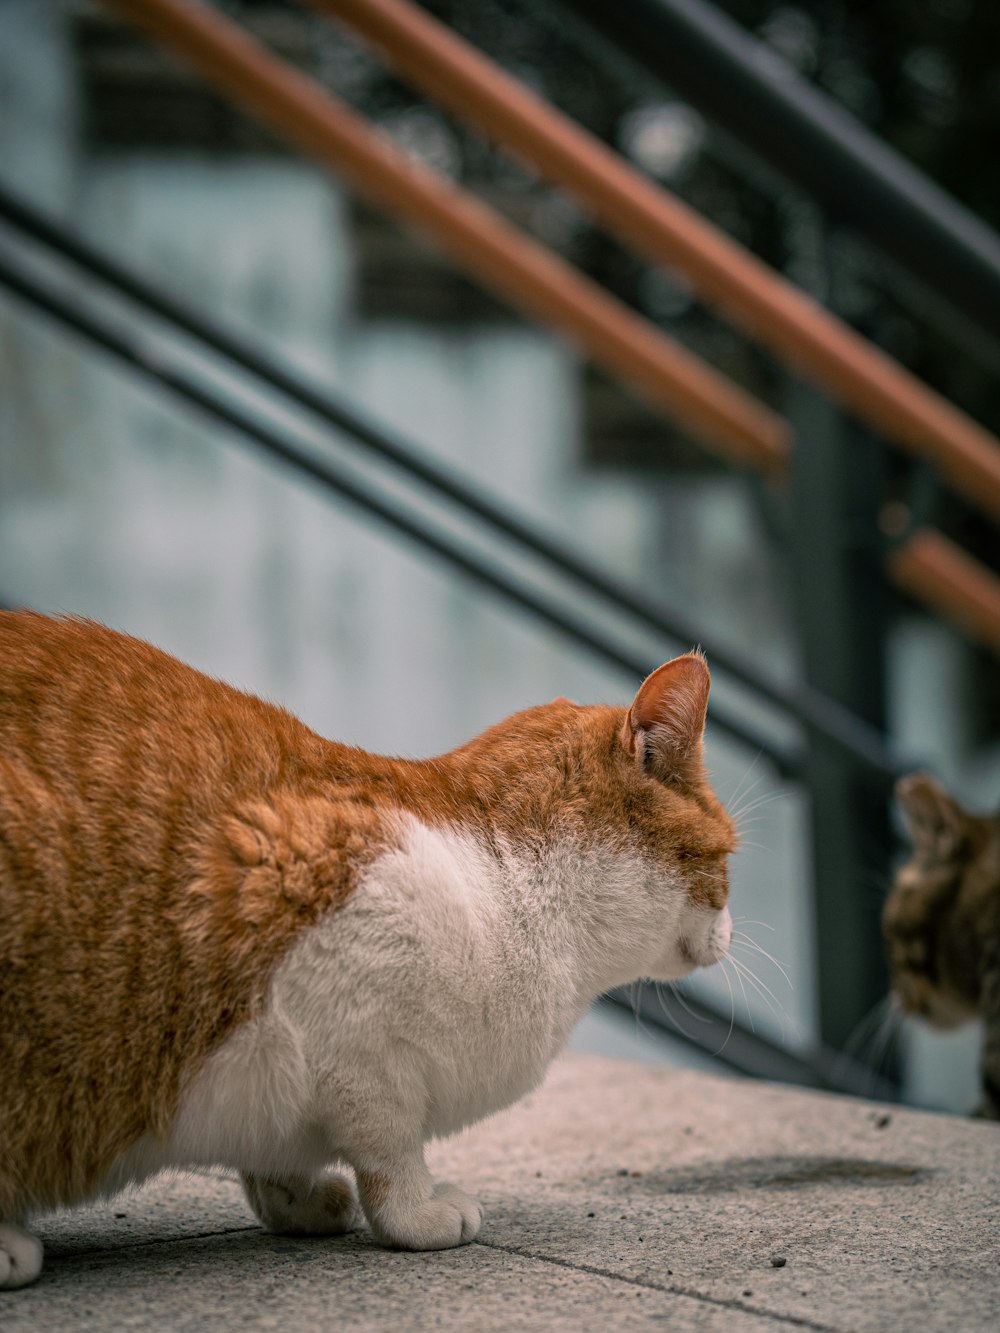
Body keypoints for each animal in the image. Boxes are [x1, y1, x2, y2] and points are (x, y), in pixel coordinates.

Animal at [0, 613, 736, 1290]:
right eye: (729, 859)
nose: (730, 932)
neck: (515, 886)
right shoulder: (357, 1036)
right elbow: (390, 1148)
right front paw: (416, 1211)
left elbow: (277, 1156)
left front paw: (294, 1198)